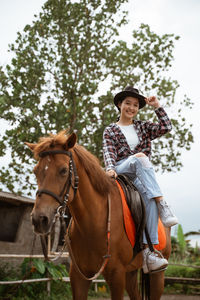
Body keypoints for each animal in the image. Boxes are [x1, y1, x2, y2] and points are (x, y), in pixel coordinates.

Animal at [25, 131, 171, 300]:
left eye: (63, 170)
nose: (39, 219)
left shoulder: (116, 276)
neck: (93, 224)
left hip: (157, 276)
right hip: (131, 273)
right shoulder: (78, 276)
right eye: (36, 171)